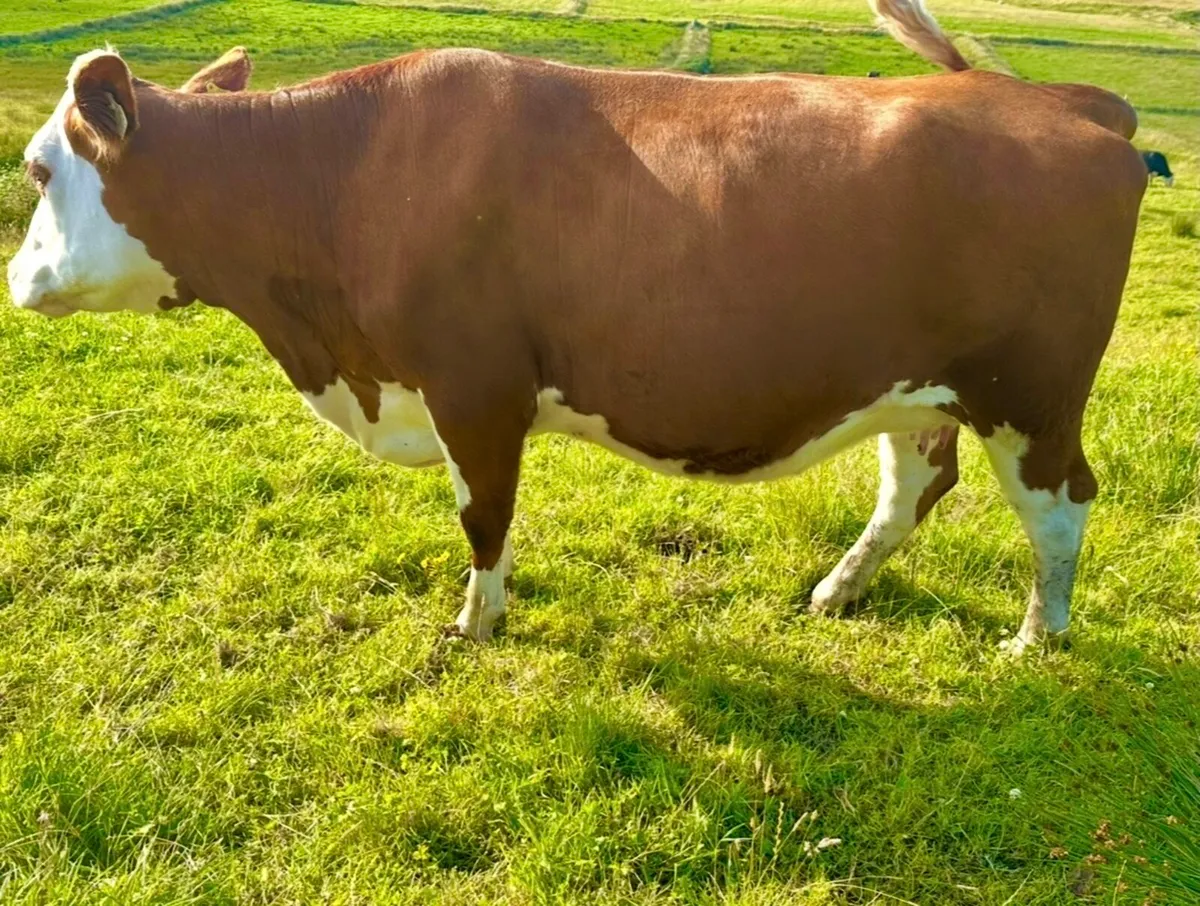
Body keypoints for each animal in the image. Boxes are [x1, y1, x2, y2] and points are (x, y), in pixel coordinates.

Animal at [6, 0, 1146, 653]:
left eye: (38, 170)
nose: (16, 279)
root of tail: (1064, 99)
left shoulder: (475, 384)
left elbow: (484, 517)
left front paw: (478, 623)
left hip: (1032, 394)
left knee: (1061, 506)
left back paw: (1037, 639)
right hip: (920, 384)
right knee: (915, 483)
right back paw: (838, 590)